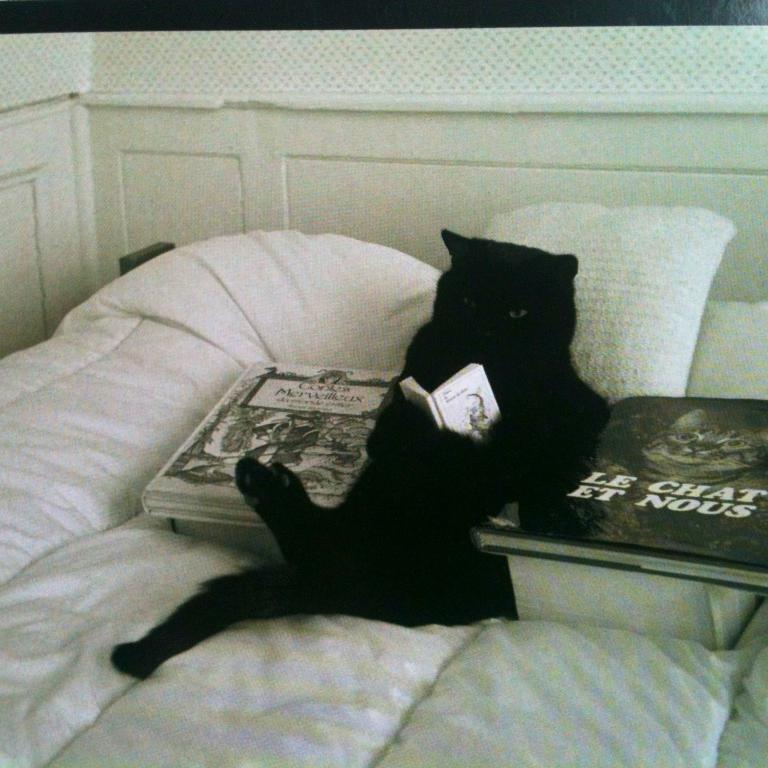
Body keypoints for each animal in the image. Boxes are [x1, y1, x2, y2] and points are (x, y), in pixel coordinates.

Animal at [111, 229, 609, 679]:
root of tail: (354, 588)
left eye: (517, 311)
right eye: (468, 301)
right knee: (318, 544)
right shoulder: (398, 407)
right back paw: (262, 482)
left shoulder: (581, 410)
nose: (485, 329)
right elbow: (404, 434)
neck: (494, 376)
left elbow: (519, 446)